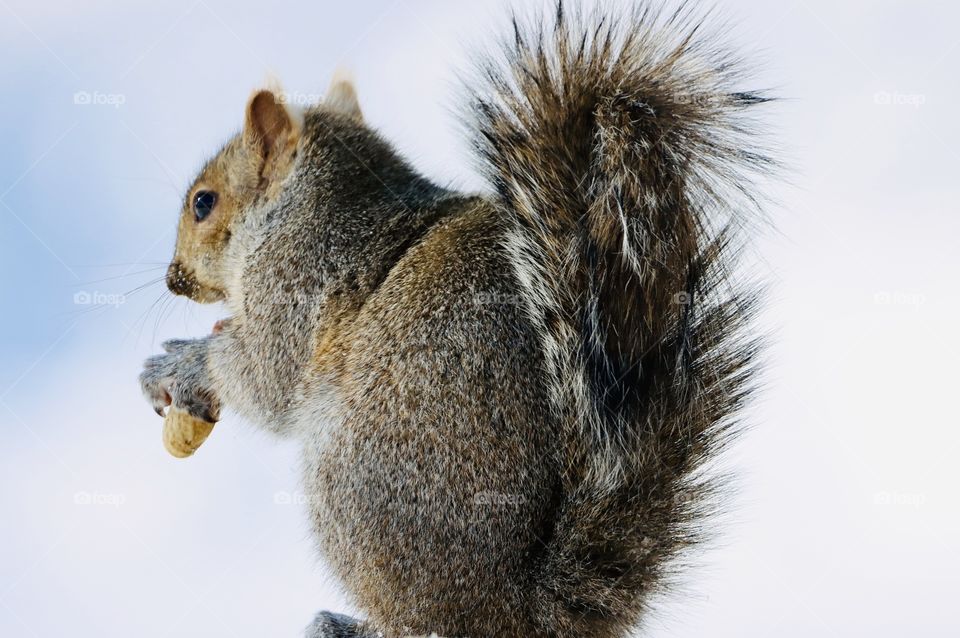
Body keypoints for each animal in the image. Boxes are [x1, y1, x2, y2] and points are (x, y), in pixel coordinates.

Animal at [140, 2, 773, 636]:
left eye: (203, 203)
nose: (174, 278)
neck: (302, 205)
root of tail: (518, 607)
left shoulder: (298, 275)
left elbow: (267, 374)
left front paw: (179, 362)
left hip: (350, 489)